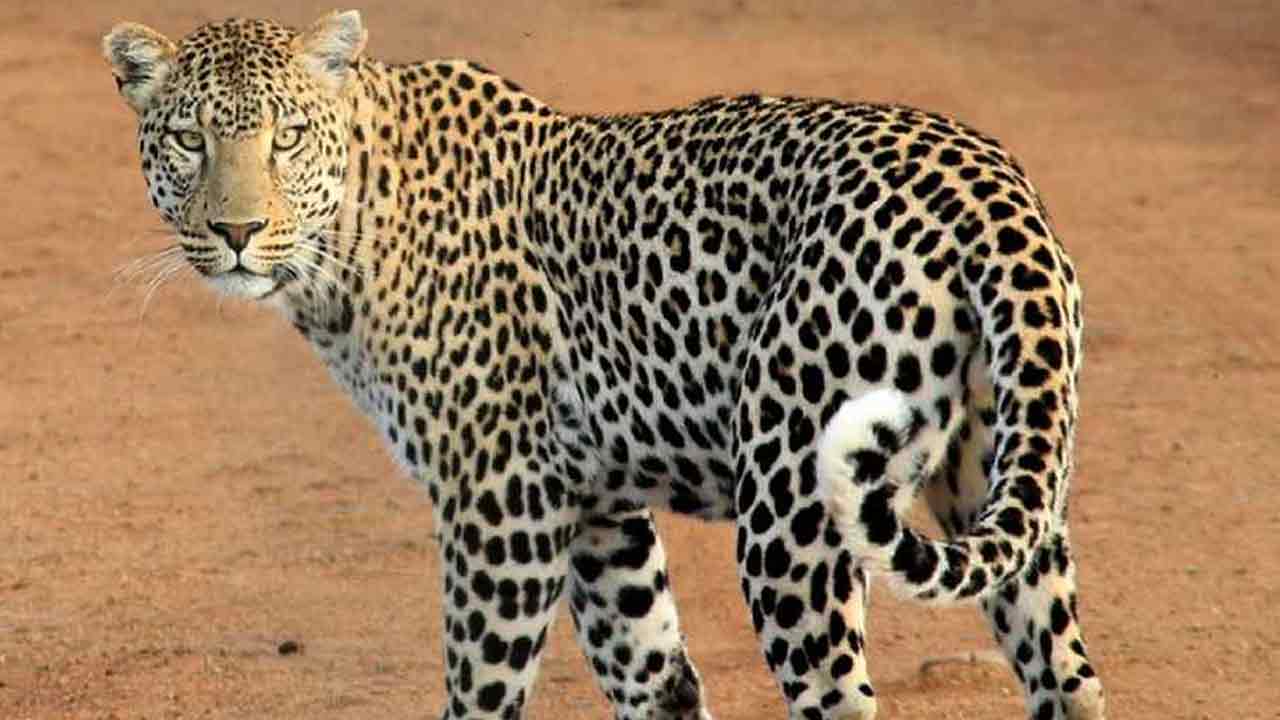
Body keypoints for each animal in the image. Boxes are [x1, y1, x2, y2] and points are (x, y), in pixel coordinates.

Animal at [103, 11, 1106, 719]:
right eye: (189, 139)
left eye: (286, 137)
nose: (237, 231)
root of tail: (989, 187)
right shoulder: (595, 505)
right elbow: (655, 679)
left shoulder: (501, 501)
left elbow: (480, 695)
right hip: (997, 473)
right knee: (1066, 673)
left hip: (792, 507)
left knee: (841, 696)